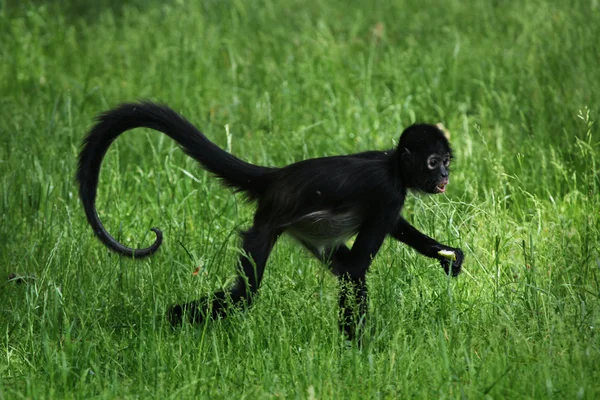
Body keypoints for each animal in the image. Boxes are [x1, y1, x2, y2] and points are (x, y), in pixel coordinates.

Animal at [77, 101, 464, 340]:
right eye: (433, 162)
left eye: (446, 160)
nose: (444, 175)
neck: (393, 166)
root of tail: (276, 177)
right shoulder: (389, 192)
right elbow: (357, 270)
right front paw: (358, 350)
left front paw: (443, 253)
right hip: (263, 226)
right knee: (245, 294)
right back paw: (172, 317)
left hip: (307, 232)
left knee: (337, 266)